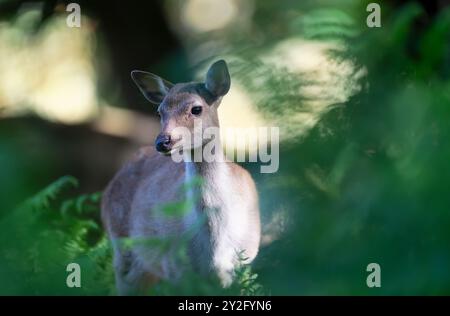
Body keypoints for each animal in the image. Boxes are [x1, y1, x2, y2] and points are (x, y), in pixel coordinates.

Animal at [101, 60, 260, 296]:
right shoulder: (175, 268)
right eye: (159, 112)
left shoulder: (244, 262)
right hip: (123, 249)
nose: (163, 142)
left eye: (196, 109)